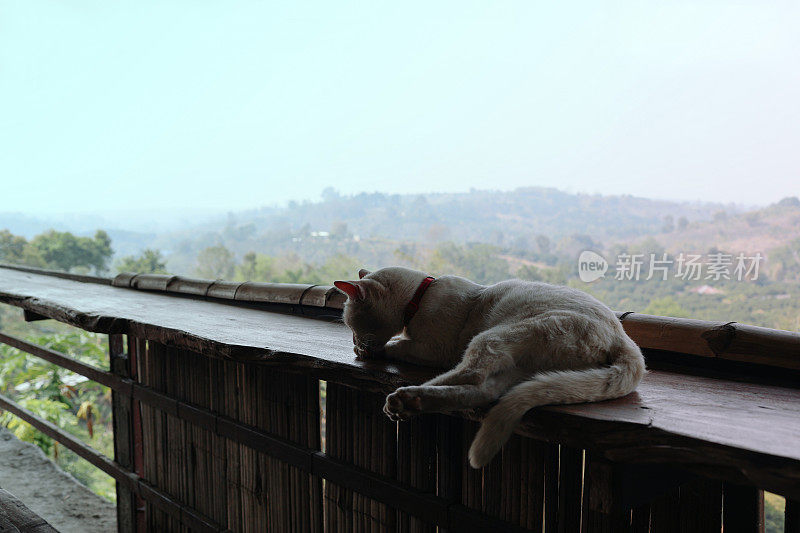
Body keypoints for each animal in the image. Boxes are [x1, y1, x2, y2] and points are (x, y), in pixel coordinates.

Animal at [334, 264, 648, 466]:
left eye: (351, 324)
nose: (356, 342)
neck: (420, 297)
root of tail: (624, 339)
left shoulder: (433, 349)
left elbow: (396, 345)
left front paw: (370, 351)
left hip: (493, 336)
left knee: (470, 375)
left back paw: (401, 399)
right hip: (517, 363)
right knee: (485, 391)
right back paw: (412, 402)